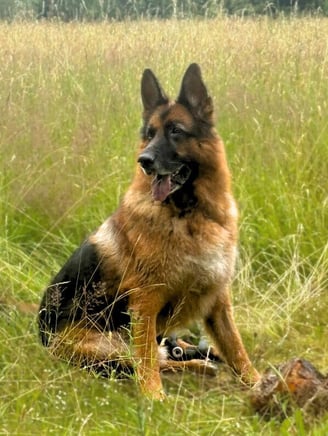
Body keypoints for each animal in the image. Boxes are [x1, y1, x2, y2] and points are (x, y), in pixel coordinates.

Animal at [38, 63, 258, 400]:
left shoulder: (218, 298)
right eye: (151, 134)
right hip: (108, 346)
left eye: (176, 131)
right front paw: (154, 398)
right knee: (149, 361)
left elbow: (236, 347)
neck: (188, 214)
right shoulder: (146, 304)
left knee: (166, 355)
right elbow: (146, 361)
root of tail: (42, 336)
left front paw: (258, 381)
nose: (144, 161)